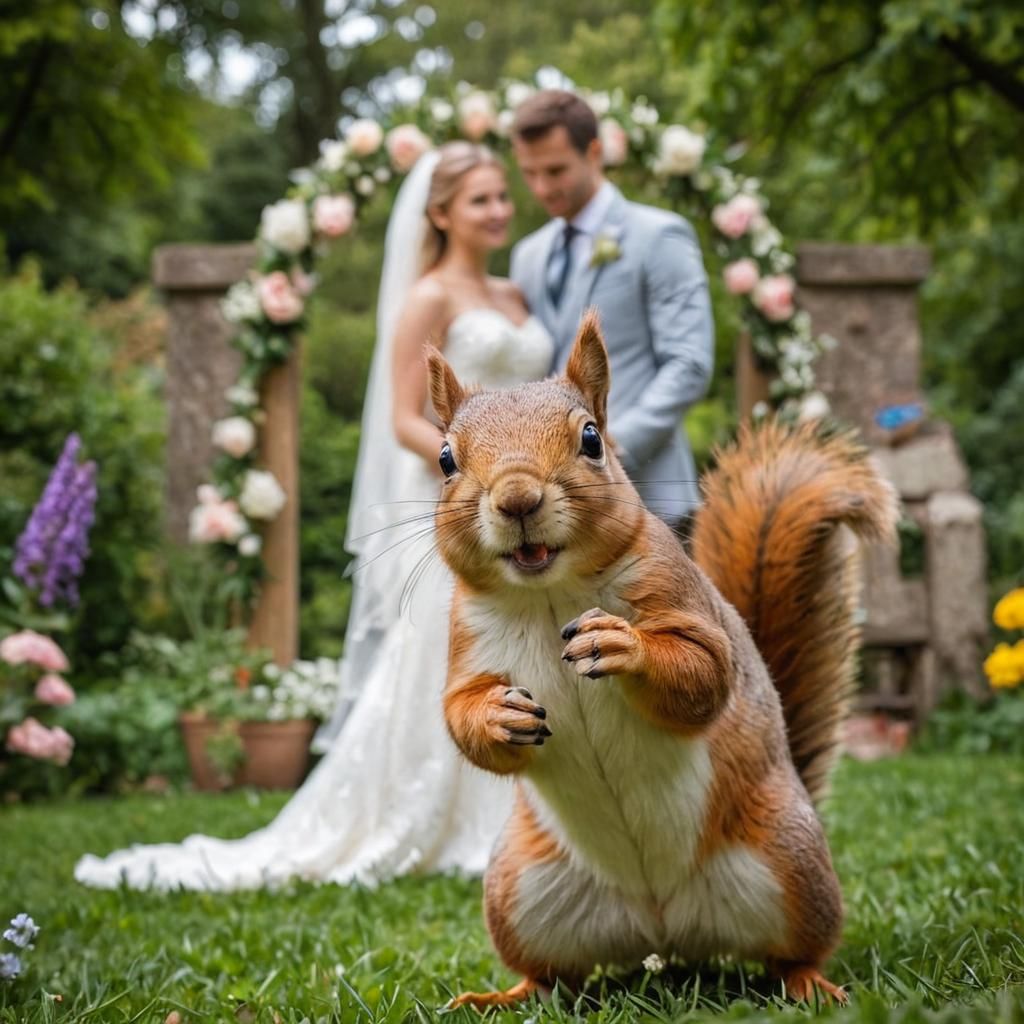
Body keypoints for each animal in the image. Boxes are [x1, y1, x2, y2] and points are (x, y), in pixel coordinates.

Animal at [425, 310, 898, 1010]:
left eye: (591, 438)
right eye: (446, 459)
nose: (516, 498)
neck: (547, 594)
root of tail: (663, 928)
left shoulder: (677, 594)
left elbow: (704, 673)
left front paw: (623, 644)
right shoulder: (468, 642)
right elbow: (460, 713)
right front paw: (497, 717)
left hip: (792, 862)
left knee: (795, 953)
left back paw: (815, 985)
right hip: (518, 889)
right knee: (549, 977)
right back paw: (498, 997)